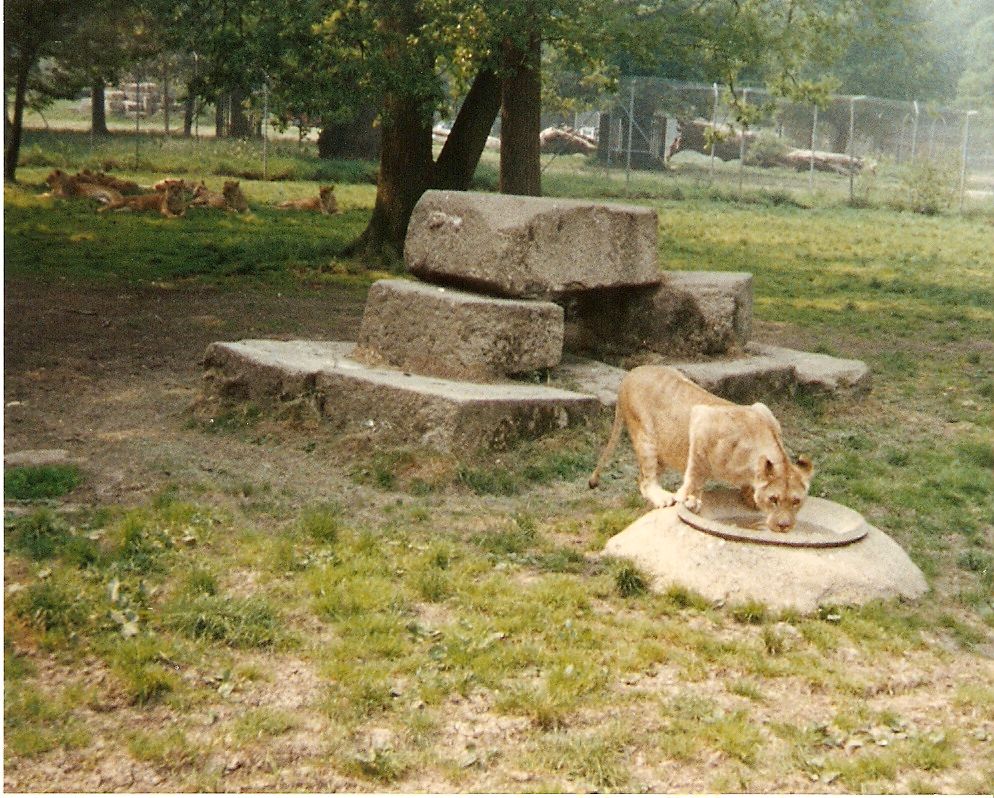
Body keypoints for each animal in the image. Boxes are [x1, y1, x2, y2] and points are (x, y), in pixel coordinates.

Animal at [589, 365, 813, 533]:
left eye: (796, 501)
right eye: (773, 499)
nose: (784, 526)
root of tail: (629, 376)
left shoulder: (761, 407)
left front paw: (749, 496)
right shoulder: (702, 421)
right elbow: (694, 473)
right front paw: (687, 499)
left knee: (641, 478)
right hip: (646, 438)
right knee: (646, 481)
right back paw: (663, 497)